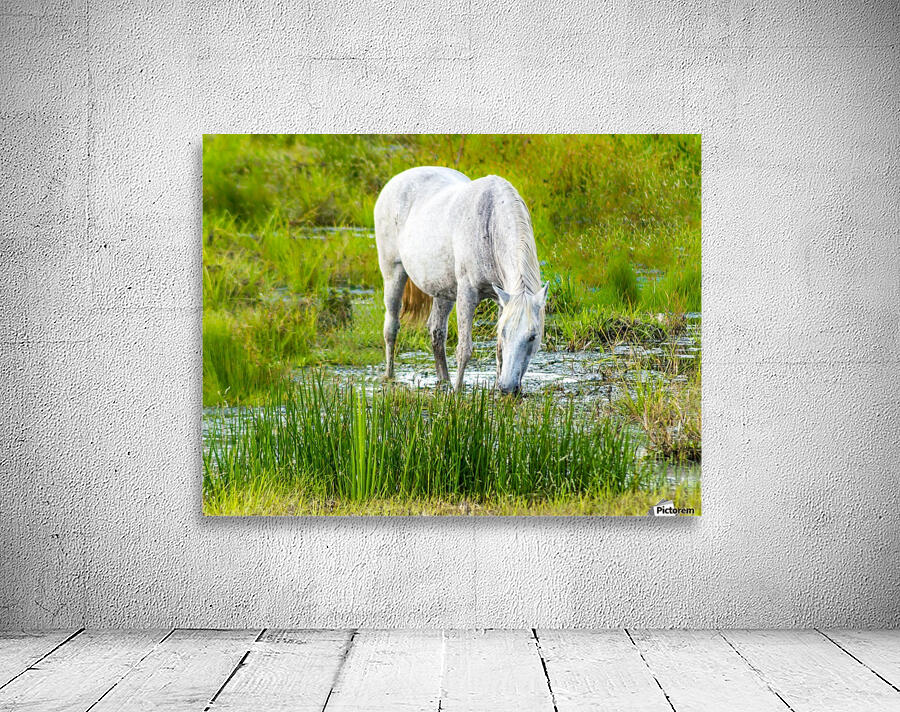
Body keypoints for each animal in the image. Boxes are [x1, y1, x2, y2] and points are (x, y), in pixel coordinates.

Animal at [374, 166, 549, 395]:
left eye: (533, 336)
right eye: (505, 332)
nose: (508, 388)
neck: (489, 225)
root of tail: (396, 180)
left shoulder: (501, 297)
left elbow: (499, 350)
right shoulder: (467, 293)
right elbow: (464, 348)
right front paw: (457, 393)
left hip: (443, 290)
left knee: (436, 331)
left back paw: (444, 380)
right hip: (393, 274)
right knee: (391, 327)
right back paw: (390, 376)